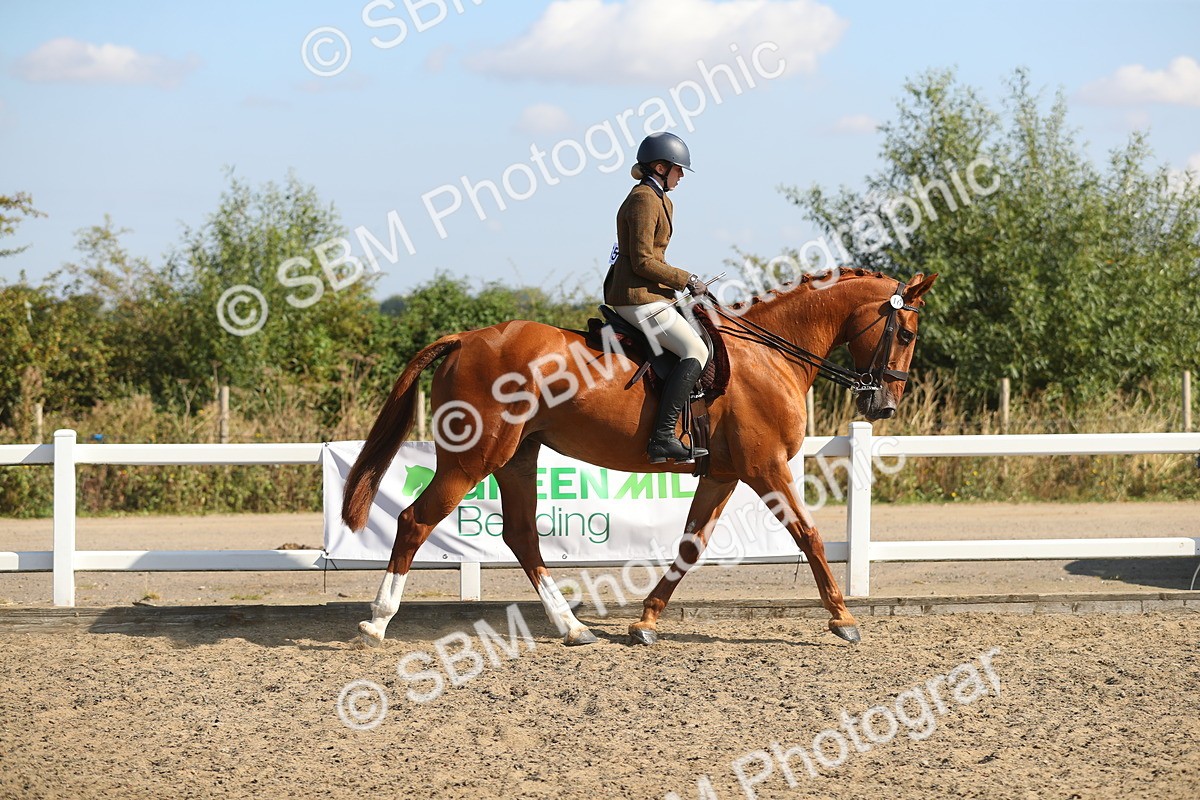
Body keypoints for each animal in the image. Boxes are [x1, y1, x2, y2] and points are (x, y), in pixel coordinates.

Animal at [342, 269, 937, 647]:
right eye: (906, 333)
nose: (884, 405)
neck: (770, 355)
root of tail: (465, 339)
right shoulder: (765, 468)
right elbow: (809, 535)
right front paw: (843, 618)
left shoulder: (723, 474)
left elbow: (691, 545)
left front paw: (645, 622)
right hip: (472, 460)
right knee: (415, 522)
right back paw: (377, 622)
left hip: (516, 457)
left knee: (522, 537)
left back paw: (573, 628)